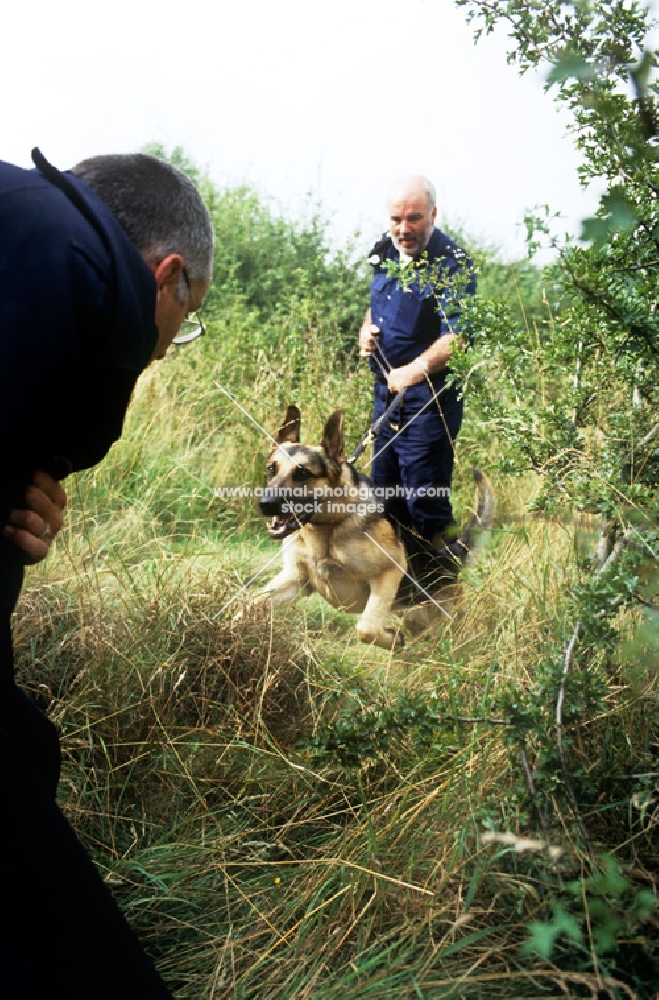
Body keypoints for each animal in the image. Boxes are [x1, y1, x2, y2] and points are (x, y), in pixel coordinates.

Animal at [248, 402, 496, 652]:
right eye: (271, 469)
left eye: (303, 473)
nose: (265, 504)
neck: (329, 526)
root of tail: (448, 557)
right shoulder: (295, 578)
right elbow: (252, 604)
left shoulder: (389, 571)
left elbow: (365, 628)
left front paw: (393, 639)